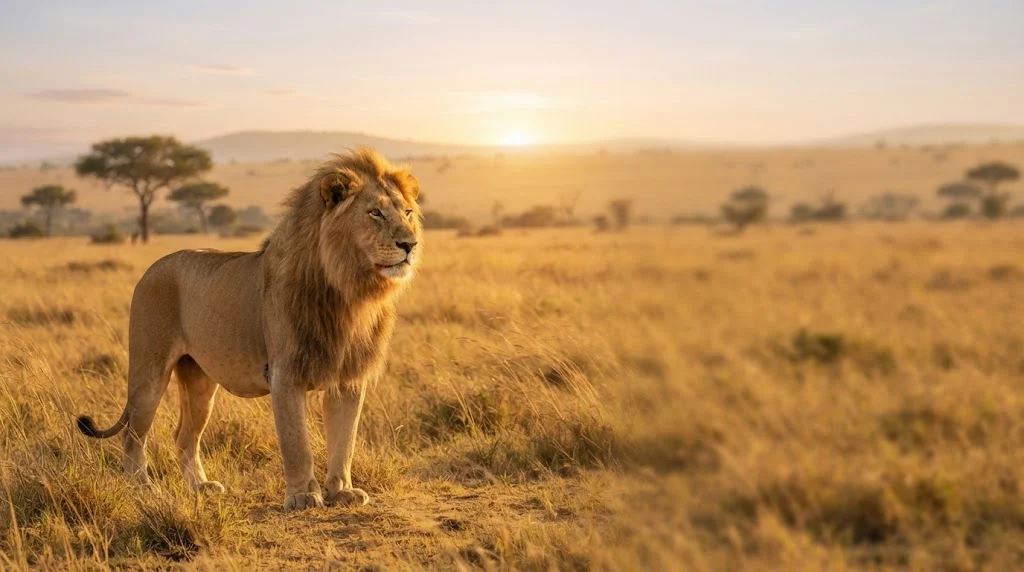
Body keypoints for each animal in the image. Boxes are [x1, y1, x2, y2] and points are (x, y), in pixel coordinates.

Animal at [76, 148, 422, 511]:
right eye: (375, 213)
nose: (410, 244)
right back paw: (142, 489)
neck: (349, 291)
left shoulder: (348, 377)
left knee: (184, 435)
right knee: (132, 434)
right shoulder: (285, 373)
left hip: (199, 380)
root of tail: (153, 267)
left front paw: (341, 491)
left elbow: (345, 440)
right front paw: (303, 496)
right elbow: (297, 443)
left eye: (408, 212)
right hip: (149, 370)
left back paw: (201, 487)